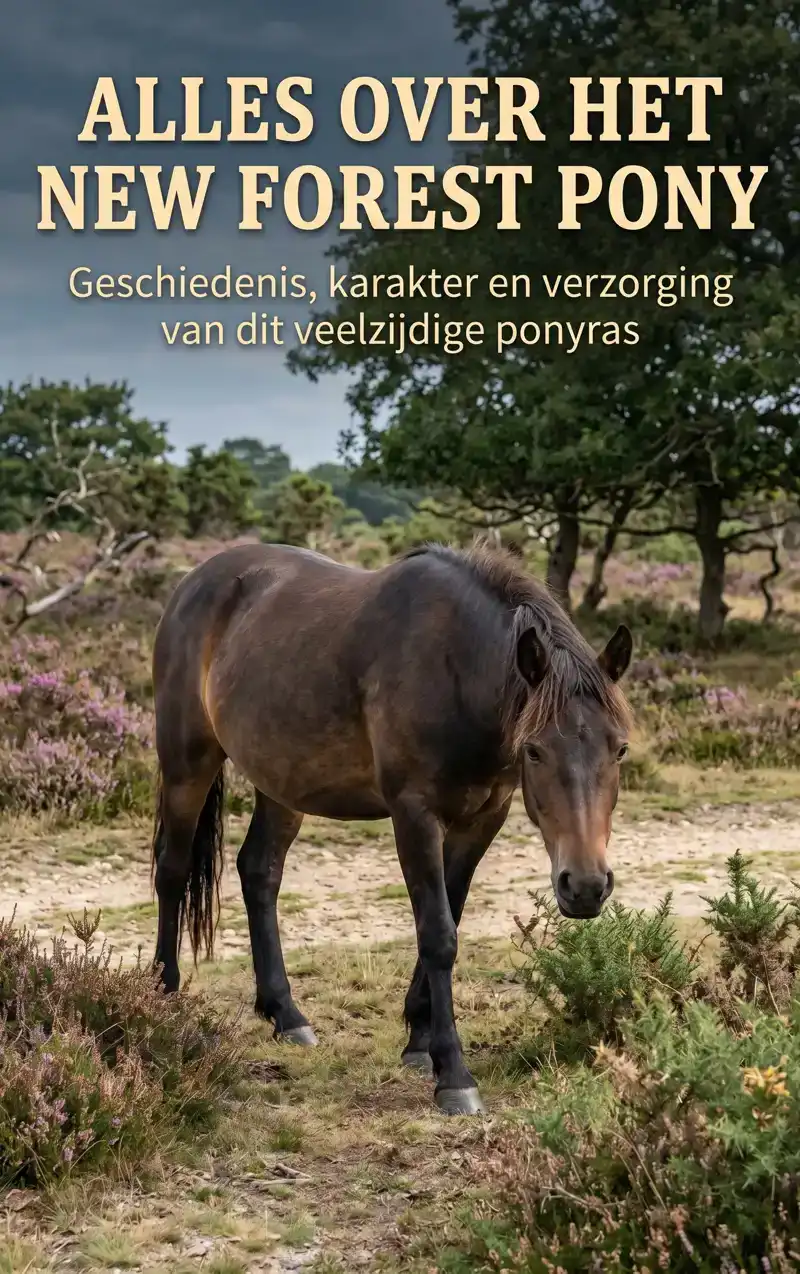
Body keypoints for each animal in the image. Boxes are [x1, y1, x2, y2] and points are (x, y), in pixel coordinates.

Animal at [150, 540, 633, 1115]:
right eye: (535, 750)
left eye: (619, 749)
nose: (584, 887)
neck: (456, 669)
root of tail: (193, 582)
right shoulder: (415, 816)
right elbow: (438, 934)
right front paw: (455, 1076)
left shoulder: (481, 821)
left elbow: (451, 916)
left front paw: (420, 1043)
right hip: (187, 762)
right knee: (173, 871)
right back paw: (163, 998)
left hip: (283, 782)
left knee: (259, 871)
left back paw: (286, 1015)